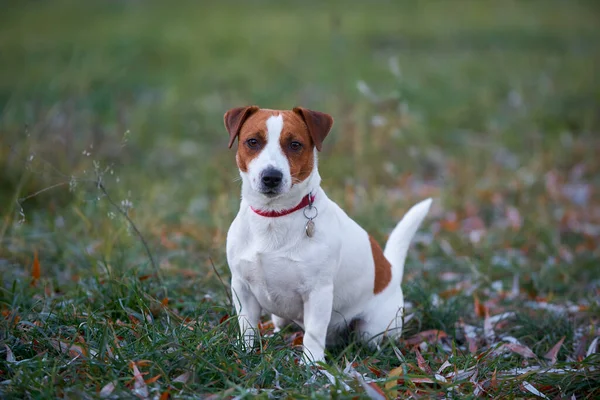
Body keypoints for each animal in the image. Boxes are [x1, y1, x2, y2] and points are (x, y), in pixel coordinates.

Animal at [225, 106, 432, 362]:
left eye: (295, 144)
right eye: (252, 142)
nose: (271, 177)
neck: (274, 216)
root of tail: (392, 271)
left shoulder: (318, 292)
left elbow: (314, 334)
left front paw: (312, 365)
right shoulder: (242, 287)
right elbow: (247, 326)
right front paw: (245, 352)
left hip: (371, 329)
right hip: (279, 316)